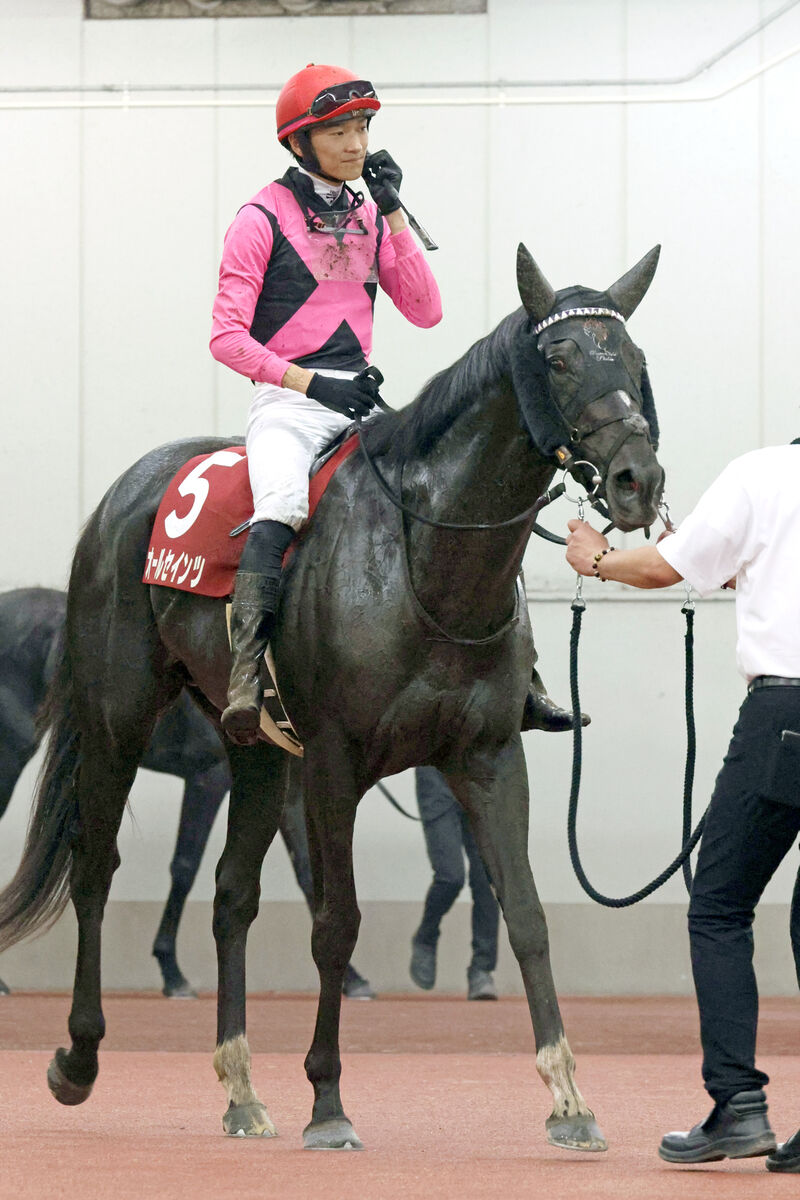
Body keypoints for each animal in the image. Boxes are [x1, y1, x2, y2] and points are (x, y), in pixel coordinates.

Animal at [0, 588, 371, 993]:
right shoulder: (209, 778)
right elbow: (185, 866)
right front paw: (172, 972)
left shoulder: (288, 793)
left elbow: (305, 869)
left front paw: (352, 978)